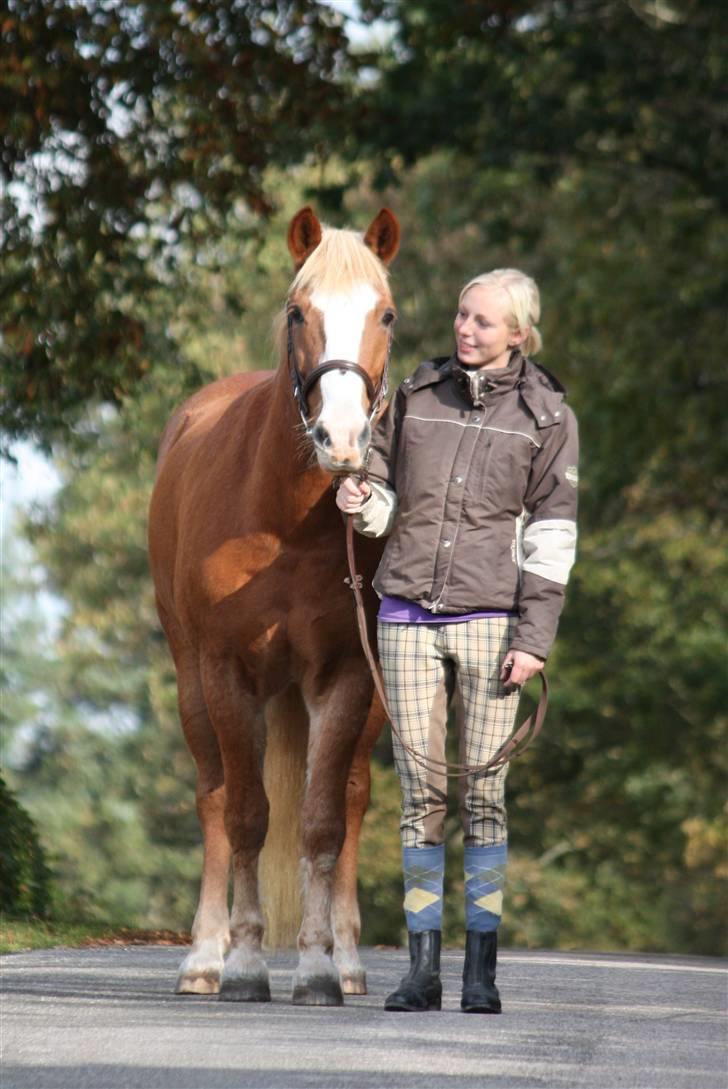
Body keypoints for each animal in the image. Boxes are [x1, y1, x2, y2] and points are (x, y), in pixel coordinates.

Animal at [146, 204, 398, 1001]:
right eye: (297, 312)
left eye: (386, 313)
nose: (342, 439)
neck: (284, 518)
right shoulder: (229, 673)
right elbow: (248, 815)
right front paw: (247, 963)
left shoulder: (345, 674)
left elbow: (320, 823)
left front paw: (317, 968)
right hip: (192, 679)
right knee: (214, 796)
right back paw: (204, 957)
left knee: (351, 798)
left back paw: (346, 960)